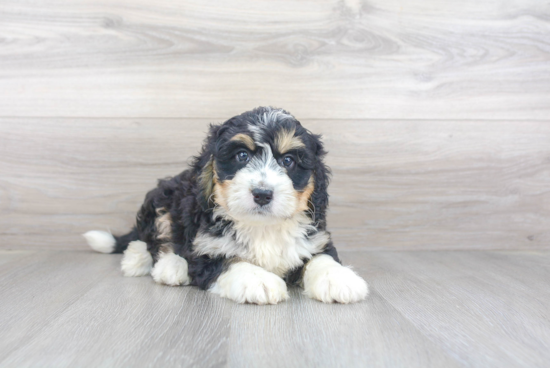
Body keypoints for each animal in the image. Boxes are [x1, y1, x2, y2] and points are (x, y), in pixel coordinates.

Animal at [85, 106, 370, 304]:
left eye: (288, 161)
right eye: (241, 156)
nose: (262, 194)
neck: (262, 226)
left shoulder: (314, 239)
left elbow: (321, 258)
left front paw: (339, 279)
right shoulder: (207, 248)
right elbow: (231, 261)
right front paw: (259, 281)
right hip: (163, 200)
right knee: (151, 240)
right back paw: (163, 265)